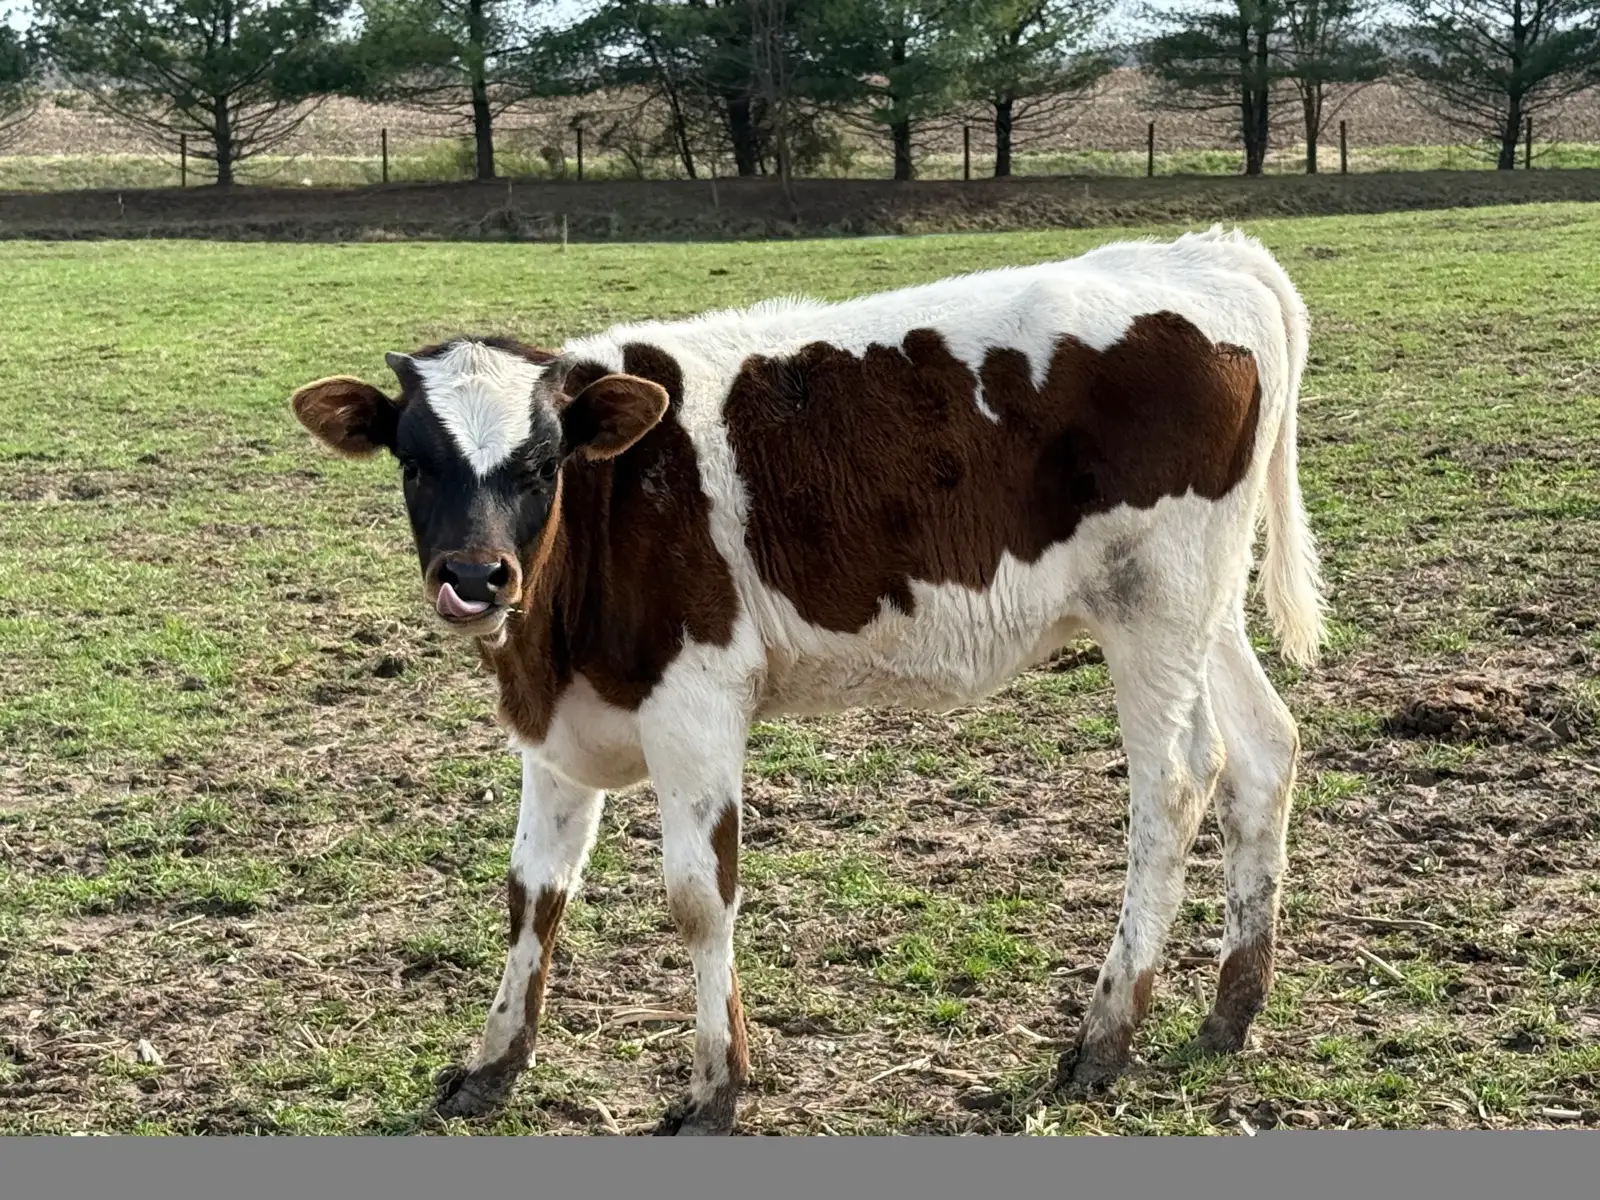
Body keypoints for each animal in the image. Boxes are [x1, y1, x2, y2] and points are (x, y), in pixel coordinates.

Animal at [289, 225, 1325, 1135]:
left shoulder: (697, 704)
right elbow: (533, 892)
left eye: (543, 463)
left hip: (1154, 607)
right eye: (415, 463)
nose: (475, 578)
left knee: (1176, 784)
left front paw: (717, 1089)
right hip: (1202, 612)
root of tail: (1206, 254)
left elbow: (699, 895)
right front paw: (492, 1064)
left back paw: (1107, 1035)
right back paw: (1232, 1008)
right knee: (1263, 752)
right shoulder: (558, 729)